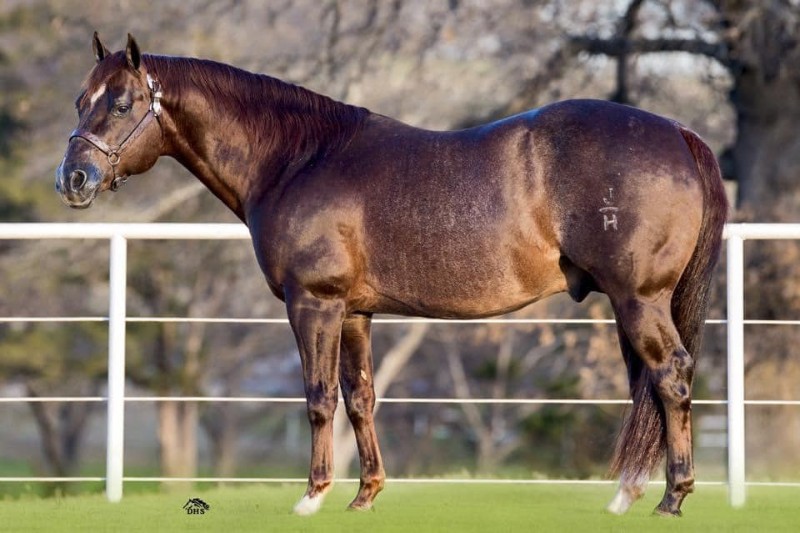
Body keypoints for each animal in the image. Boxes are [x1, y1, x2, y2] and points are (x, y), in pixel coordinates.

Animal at [56, 33, 727, 517]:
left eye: (122, 103)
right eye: (80, 100)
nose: (73, 179)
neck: (299, 159)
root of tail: (680, 133)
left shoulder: (313, 303)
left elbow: (319, 398)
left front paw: (312, 497)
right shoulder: (355, 311)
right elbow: (360, 398)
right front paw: (365, 495)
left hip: (638, 299)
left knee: (670, 376)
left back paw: (671, 499)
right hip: (631, 303)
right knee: (649, 385)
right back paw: (629, 495)